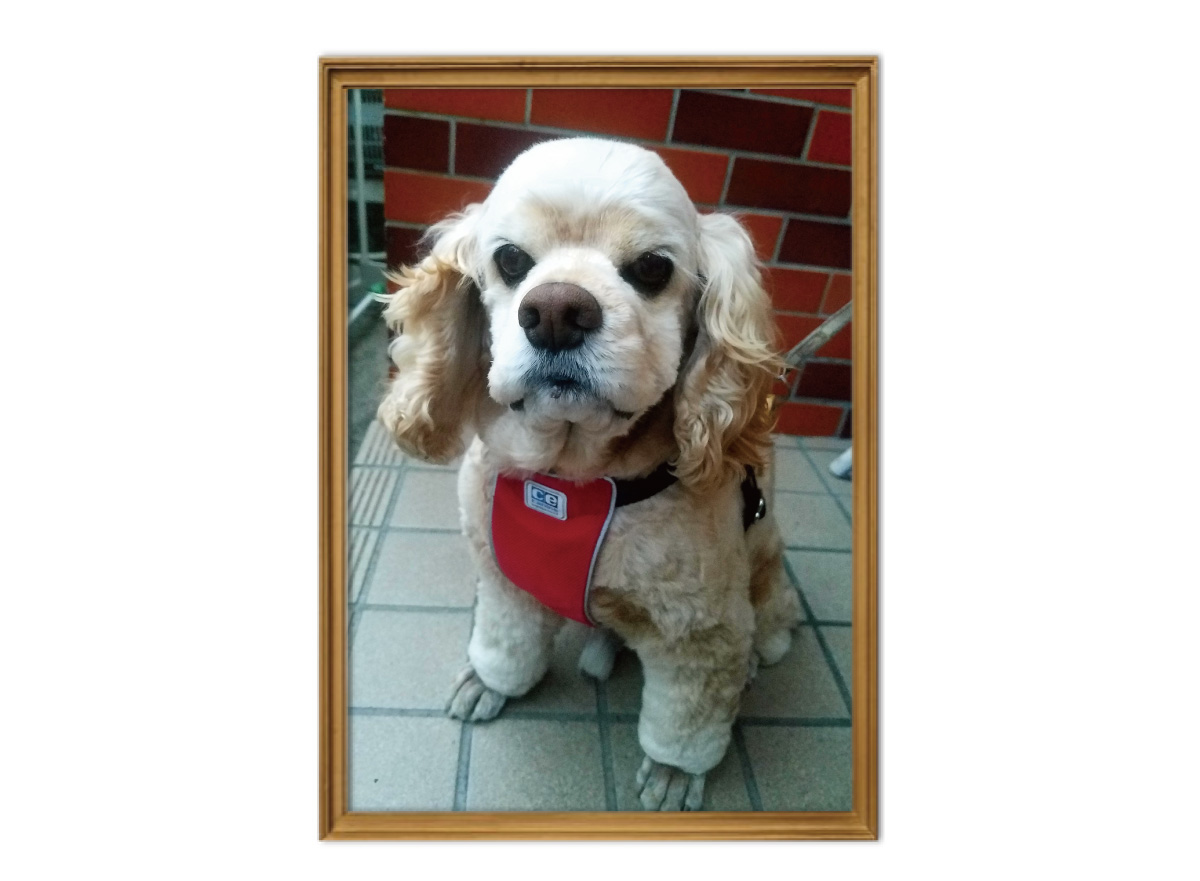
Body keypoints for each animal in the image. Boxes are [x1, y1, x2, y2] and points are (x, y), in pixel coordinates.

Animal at [377, 137, 800, 810]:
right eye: (510, 259)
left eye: (652, 268)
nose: (555, 311)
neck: (570, 478)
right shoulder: (503, 580)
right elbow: (507, 641)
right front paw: (491, 681)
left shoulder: (701, 633)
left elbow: (687, 716)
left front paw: (675, 771)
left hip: (765, 577)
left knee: (771, 631)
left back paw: (758, 663)